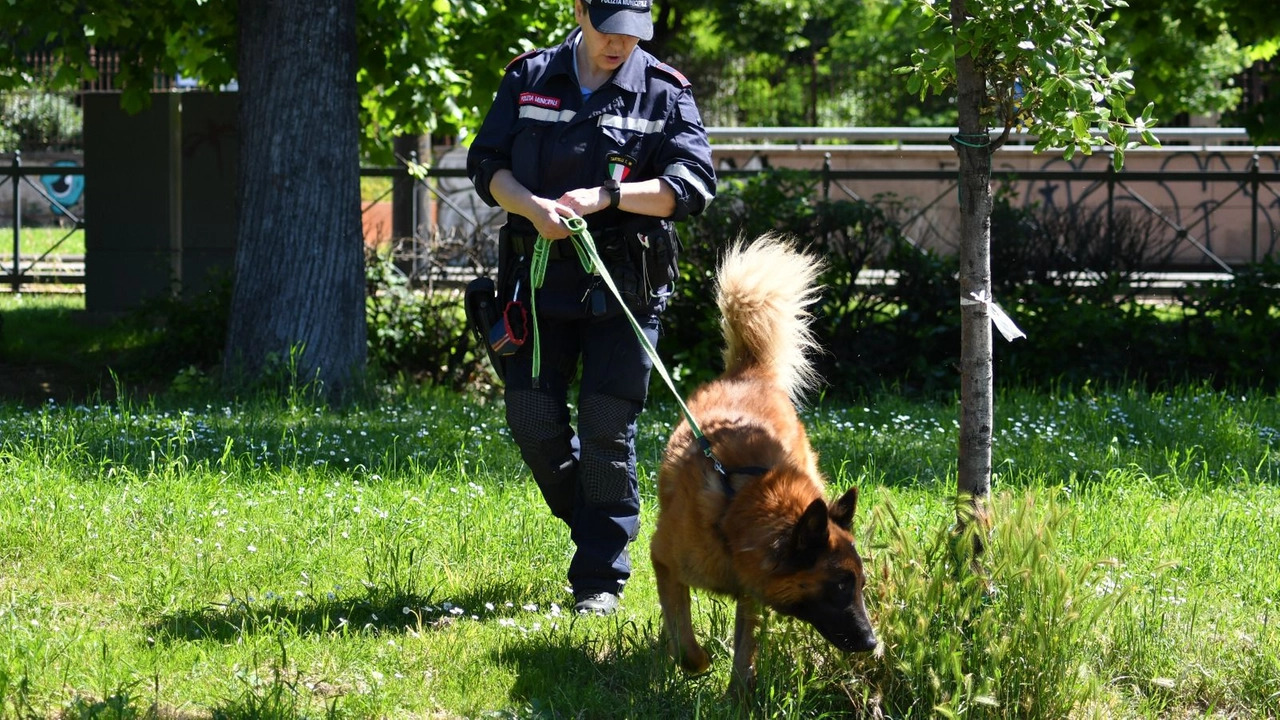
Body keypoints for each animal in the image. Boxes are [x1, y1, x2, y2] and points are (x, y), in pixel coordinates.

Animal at [655, 234, 875, 696]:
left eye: (861, 584)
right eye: (840, 585)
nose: (871, 642)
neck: (735, 507)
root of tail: (749, 373)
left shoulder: (750, 592)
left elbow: (746, 644)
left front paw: (738, 695)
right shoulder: (663, 560)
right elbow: (684, 638)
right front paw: (697, 662)